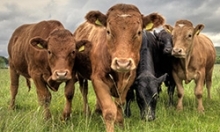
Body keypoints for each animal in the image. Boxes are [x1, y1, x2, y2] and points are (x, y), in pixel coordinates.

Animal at [73, 3, 166, 132]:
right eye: (108, 31)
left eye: (138, 32)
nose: (122, 63)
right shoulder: (98, 79)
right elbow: (109, 111)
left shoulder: (129, 79)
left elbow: (120, 104)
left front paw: (121, 124)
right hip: (81, 76)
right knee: (84, 92)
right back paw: (87, 113)